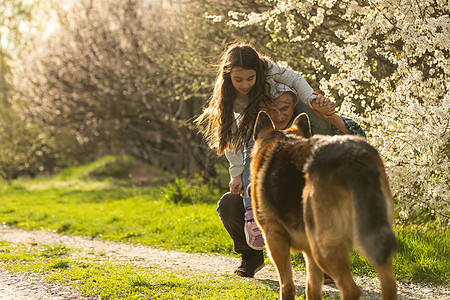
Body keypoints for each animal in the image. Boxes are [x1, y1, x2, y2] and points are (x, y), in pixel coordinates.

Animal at [250, 112, 398, 300]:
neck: (282, 139)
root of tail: (353, 157)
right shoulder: (308, 251)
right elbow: (312, 288)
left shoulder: (274, 237)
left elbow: (287, 286)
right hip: (369, 236)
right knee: (389, 283)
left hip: (323, 246)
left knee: (351, 289)